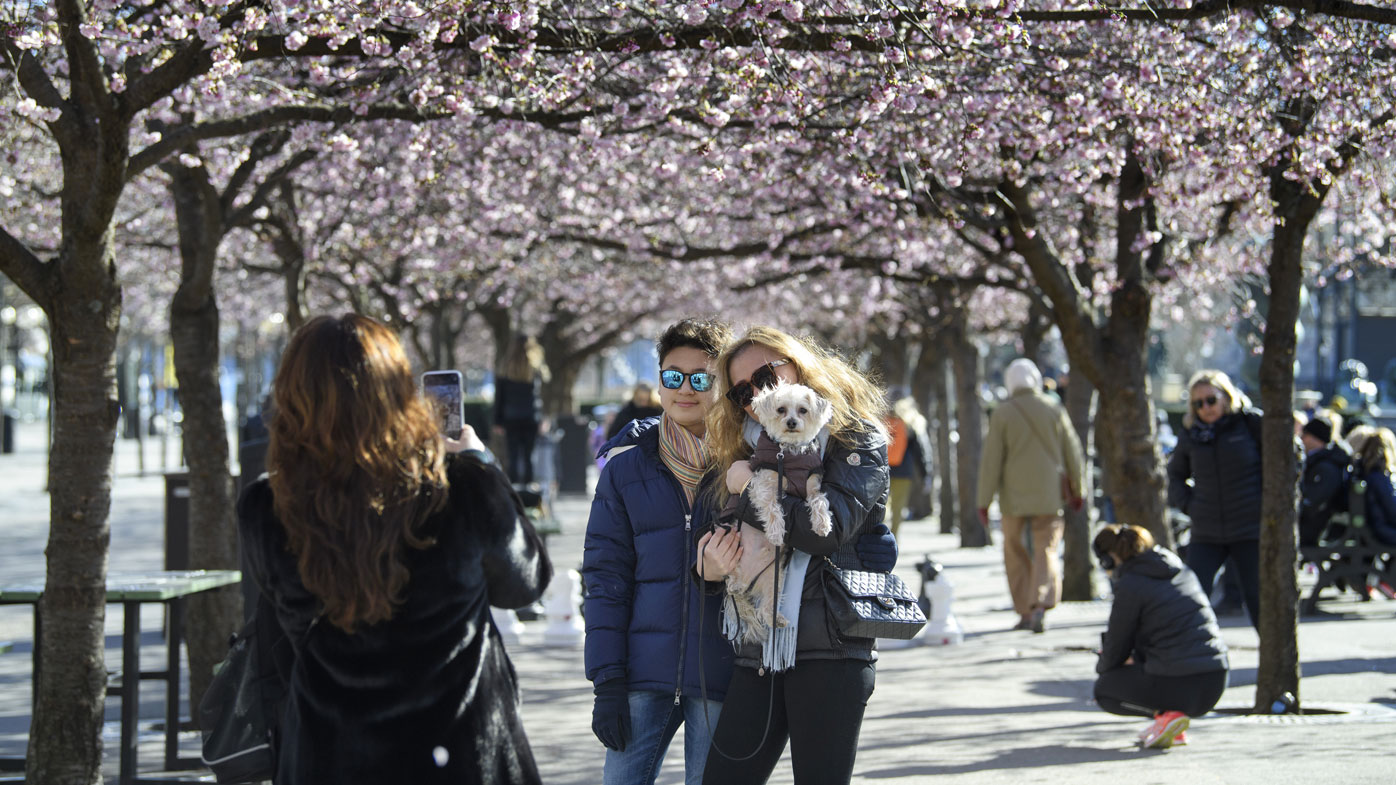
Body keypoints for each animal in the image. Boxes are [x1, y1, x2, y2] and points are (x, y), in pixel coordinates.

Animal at [725, 379, 832, 642]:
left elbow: (819, 502)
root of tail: (747, 583)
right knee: (730, 584)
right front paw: (775, 533)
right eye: (781, 409)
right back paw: (734, 585)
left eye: (803, 410)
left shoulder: (813, 486)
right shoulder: (762, 485)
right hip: (734, 562)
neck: (789, 453)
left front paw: (823, 524)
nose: (791, 422)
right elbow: (773, 507)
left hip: (774, 579)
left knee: (766, 607)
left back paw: (778, 619)